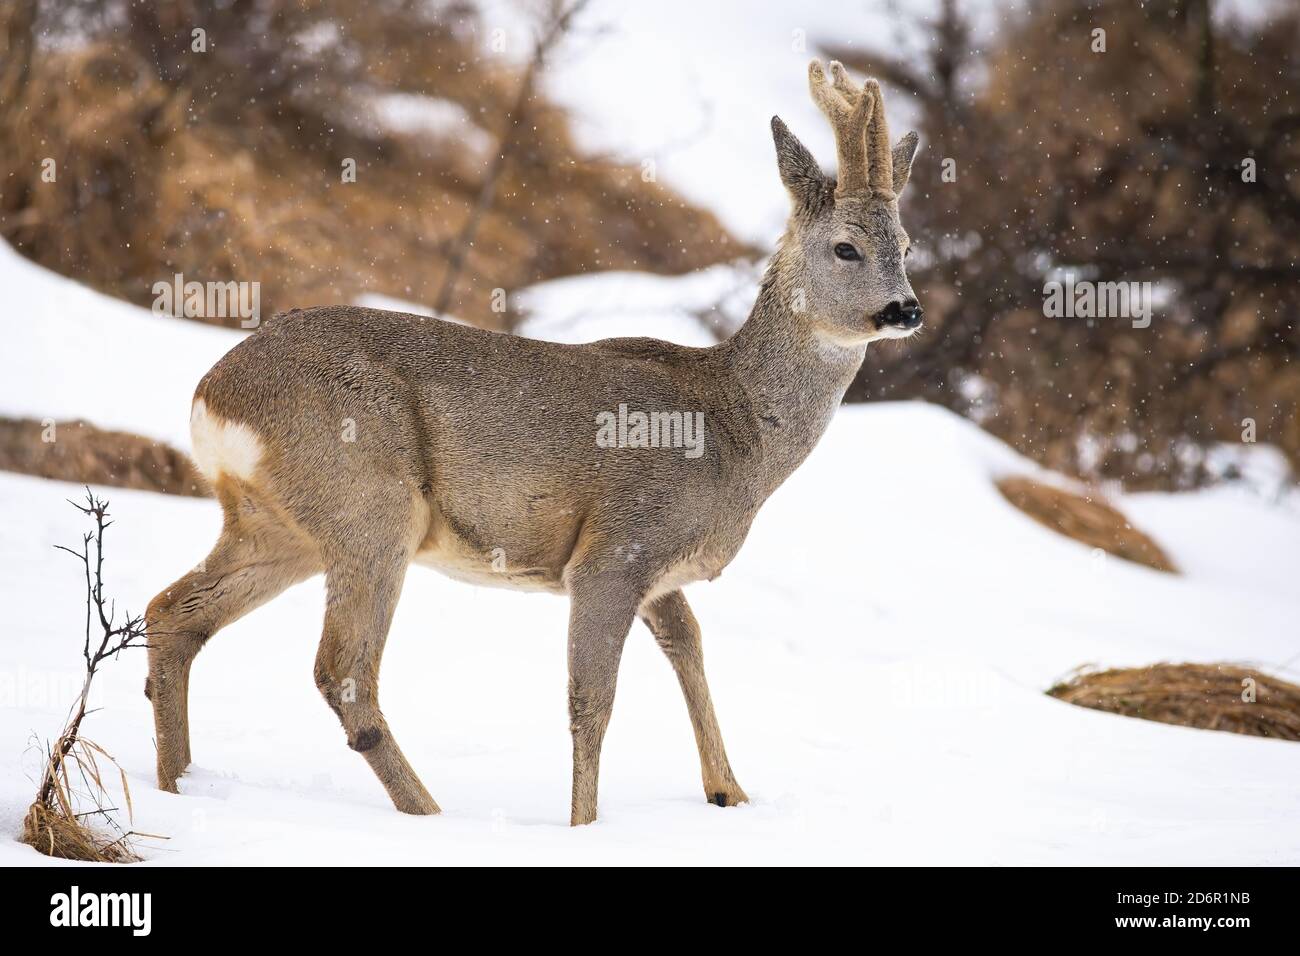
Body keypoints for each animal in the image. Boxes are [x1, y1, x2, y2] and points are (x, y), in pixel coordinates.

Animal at [147, 61, 920, 822]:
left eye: (908, 246)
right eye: (846, 247)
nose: (906, 309)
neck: (733, 425)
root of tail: (214, 394)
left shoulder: (658, 574)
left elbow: (690, 649)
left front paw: (728, 792)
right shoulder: (616, 549)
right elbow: (592, 701)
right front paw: (585, 827)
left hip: (278, 526)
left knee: (174, 615)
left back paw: (180, 785)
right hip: (371, 509)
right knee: (342, 673)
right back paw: (427, 811)